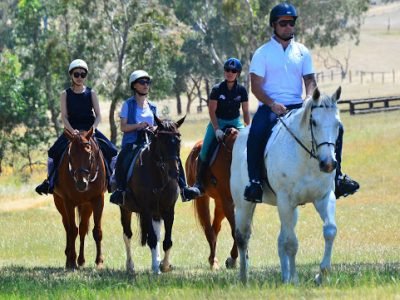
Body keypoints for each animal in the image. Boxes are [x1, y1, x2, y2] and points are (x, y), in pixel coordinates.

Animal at [52, 127, 106, 268]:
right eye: (71, 155)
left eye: (89, 154)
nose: (82, 183)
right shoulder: (68, 202)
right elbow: (72, 230)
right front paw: (71, 260)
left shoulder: (98, 200)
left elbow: (97, 231)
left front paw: (99, 261)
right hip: (60, 203)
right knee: (68, 227)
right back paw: (69, 258)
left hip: (86, 206)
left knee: (82, 228)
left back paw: (81, 260)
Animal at [119, 116, 184, 276]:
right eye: (163, 140)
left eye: (178, 140)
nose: (174, 172)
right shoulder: (146, 210)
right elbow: (152, 239)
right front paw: (155, 267)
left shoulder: (168, 209)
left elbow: (167, 240)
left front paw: (164, 265)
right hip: (125, 209)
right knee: (127, 235)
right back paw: (130, 266)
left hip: (156, 213)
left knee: (158, 234)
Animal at [186, 126, 239, 270]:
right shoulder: (228, 201)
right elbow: (235, 231)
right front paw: (233, 259)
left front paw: (234, 259)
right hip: (203, 199)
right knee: (209, 230)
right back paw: (213, 261)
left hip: (219, 203)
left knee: (215, 229)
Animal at [231, 86, 340, 284]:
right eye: (314, 122)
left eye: (337, 124)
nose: (328, 164)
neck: (307, 158)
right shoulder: (285, 201)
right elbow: (291, 243)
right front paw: (295, 280)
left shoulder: (323, 197)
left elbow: (330, 230)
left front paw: (321, 274)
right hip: (244, 205)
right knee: (242, 237)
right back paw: (244, 278)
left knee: (280, 239)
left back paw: (284, 276)